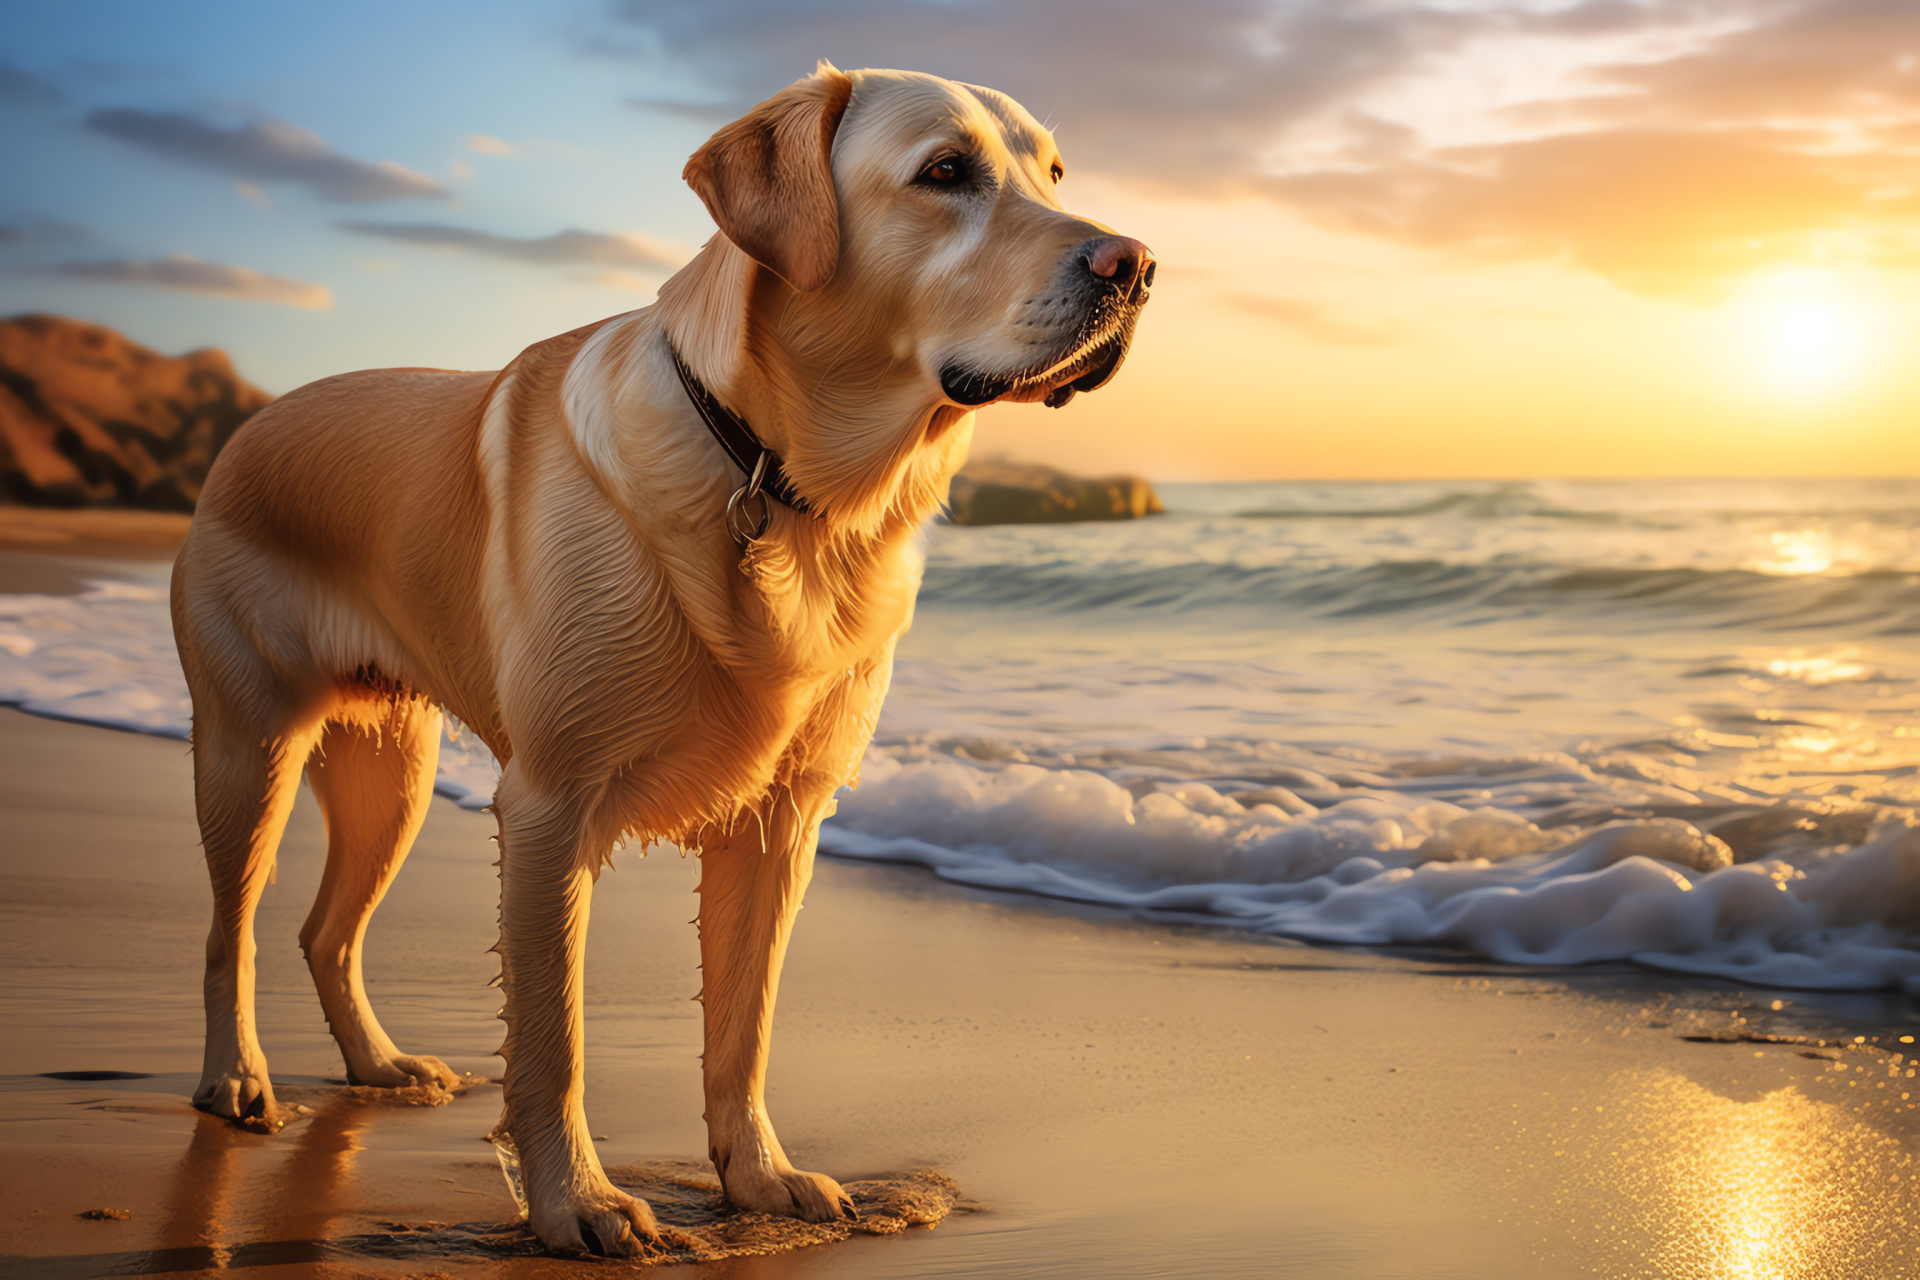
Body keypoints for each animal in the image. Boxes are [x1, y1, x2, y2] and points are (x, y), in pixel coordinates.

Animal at [168, 65, 1152, 1258]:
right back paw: (236, 1081)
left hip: (394, 768)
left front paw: (760, 1177)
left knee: (326, 932)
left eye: (1053, 172)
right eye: (945, 172)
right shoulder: (548, 804)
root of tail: (253, 424)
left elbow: (744, 1025)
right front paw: (576, 1204)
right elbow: (554, 1040)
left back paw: (378, 1065)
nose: (1136, 264)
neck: (784, 483)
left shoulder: (782, 818)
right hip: (249, 747)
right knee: (231, 930)